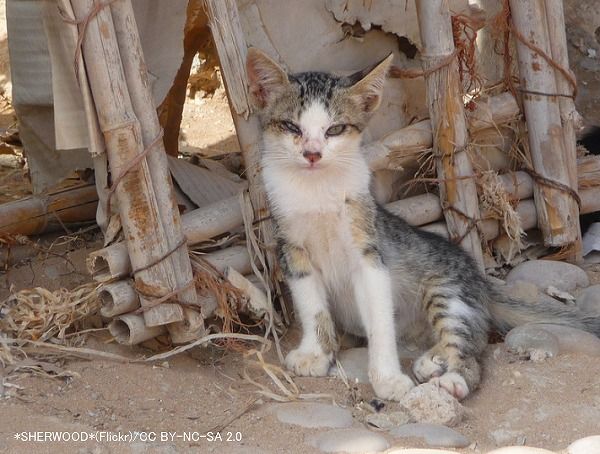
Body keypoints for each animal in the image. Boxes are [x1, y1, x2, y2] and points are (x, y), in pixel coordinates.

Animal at [245, 46, 600, 400]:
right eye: (291, 126)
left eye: (335, 129)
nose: (312, 154)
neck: (317, 190)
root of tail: (481, 282)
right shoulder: (292, 251)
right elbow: (312, 307)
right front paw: (315, 354)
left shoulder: (369, 254)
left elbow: (380, 320)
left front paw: (388, 378)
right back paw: (433, 360)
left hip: (447, 293)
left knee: (470, 349)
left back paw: (453, 377)